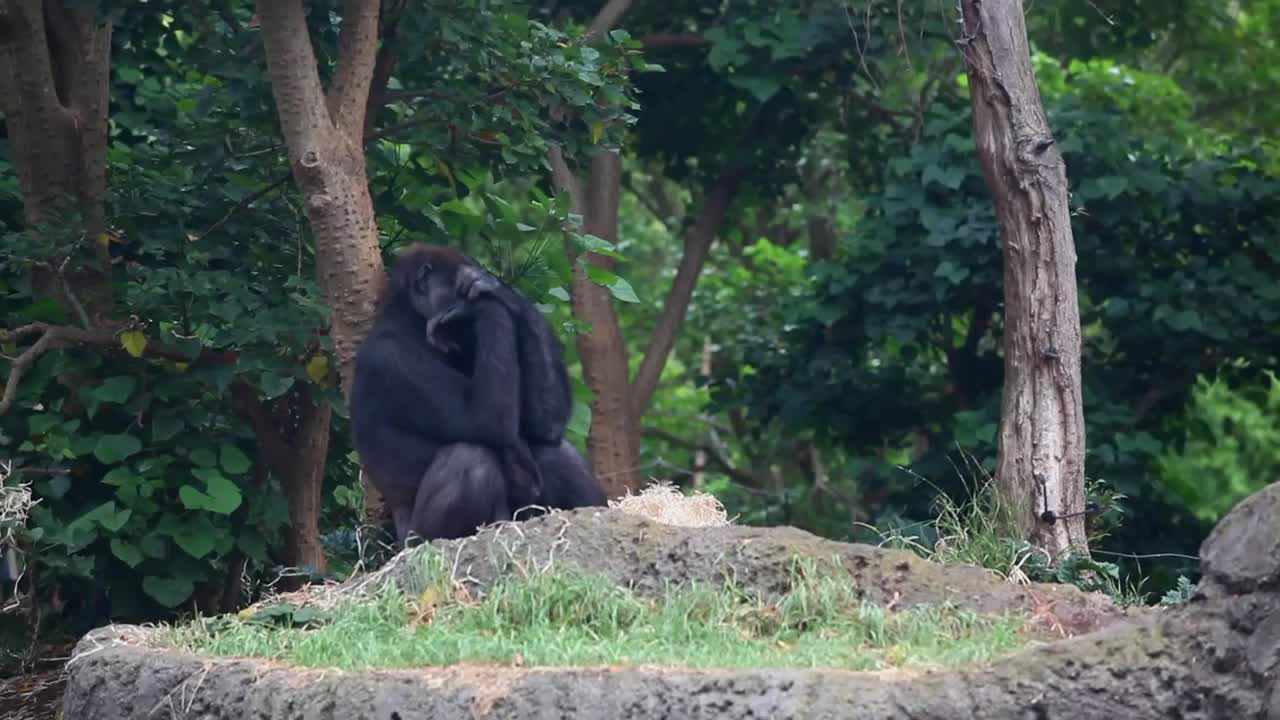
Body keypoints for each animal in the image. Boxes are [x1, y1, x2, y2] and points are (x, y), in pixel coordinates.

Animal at [350, 243, 609, 540]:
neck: (408, 322)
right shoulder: (392, 359)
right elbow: (485, 418)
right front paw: (478, 303)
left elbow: (543, 425)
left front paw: (497, 290)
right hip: (417, 540)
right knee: (471, 455)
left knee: (551, 448)